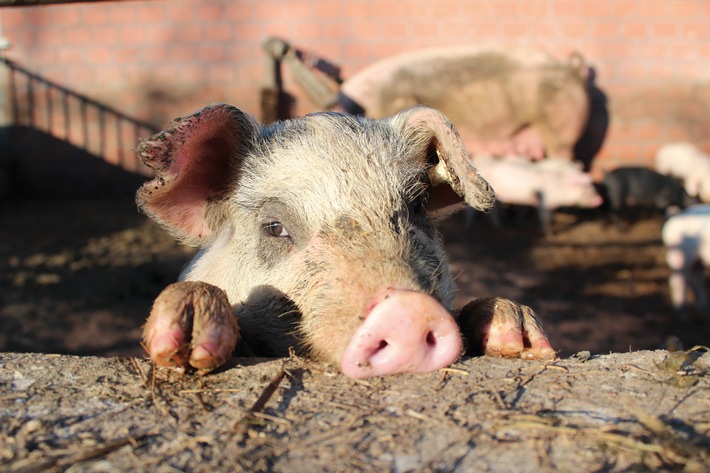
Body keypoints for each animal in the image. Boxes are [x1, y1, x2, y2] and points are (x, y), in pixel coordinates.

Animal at [470, 156, 604, 233]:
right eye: (585, 187)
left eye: (590, 186)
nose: (600, 200)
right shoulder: (544, 203)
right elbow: (544, 217)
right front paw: (548, 234)